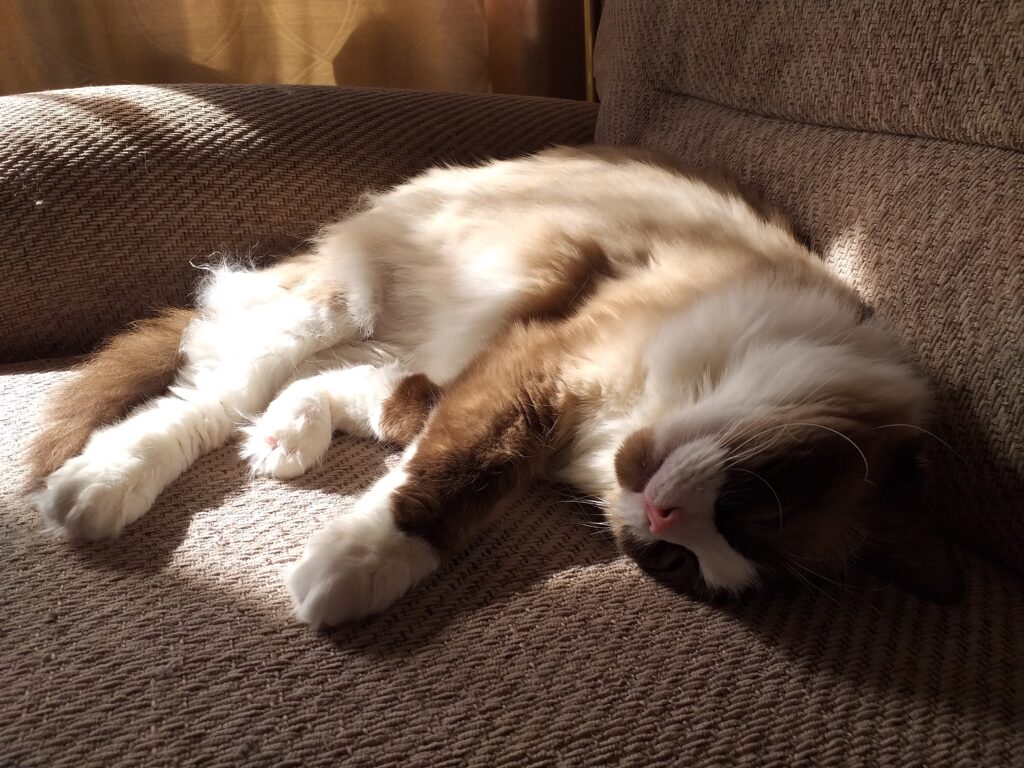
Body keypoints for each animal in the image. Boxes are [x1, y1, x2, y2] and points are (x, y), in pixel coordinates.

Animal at [28, 147, 962, 626]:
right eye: (753, 508)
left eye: (680, 563)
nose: (659, 519)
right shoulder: (542, 371)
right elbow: (449, 479)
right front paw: (349, 574)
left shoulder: (468, 374)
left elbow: (401, 428)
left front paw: (301, 450)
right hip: (342, 301)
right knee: (209, 390)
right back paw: (97, 489)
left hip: (387, 328)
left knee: (273, 381)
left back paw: (279, 442)